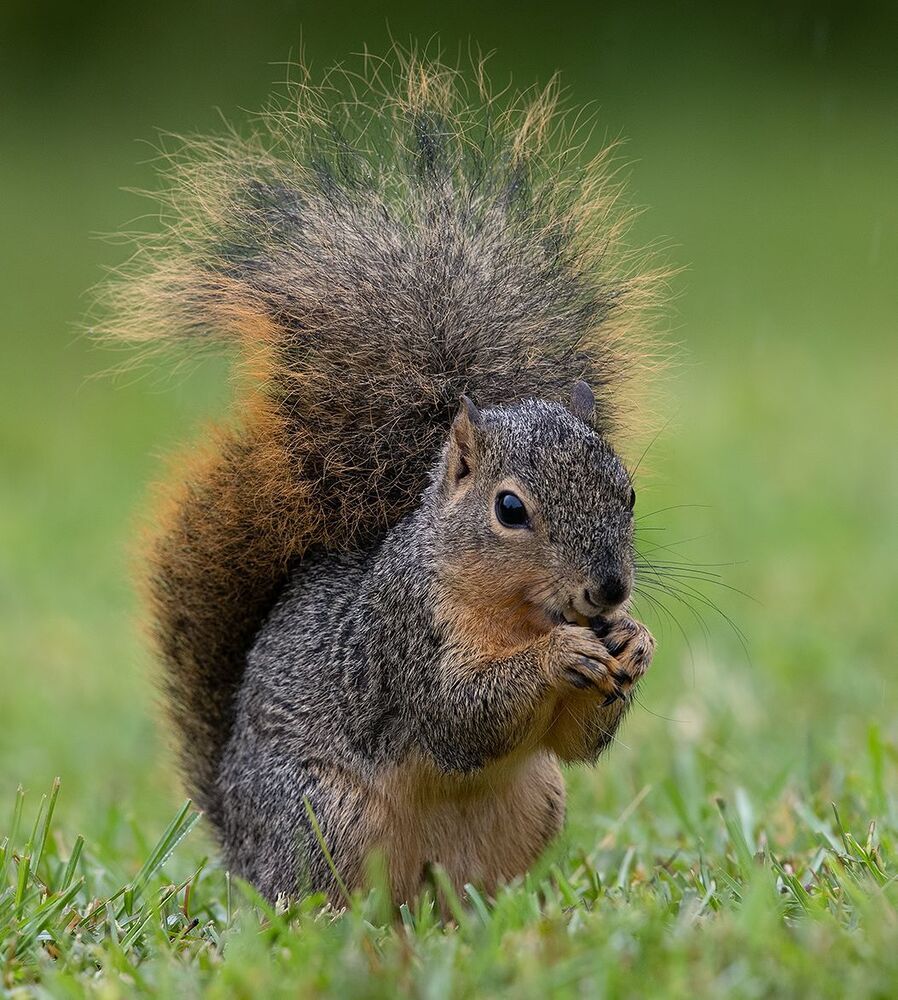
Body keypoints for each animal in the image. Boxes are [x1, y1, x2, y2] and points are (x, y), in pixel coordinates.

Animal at [102, 54, 662, 906]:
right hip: (322, 816)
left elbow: (577, 743)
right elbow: (459, 717)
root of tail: (241, 841)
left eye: (626, 492)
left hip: (533, 805)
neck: (518, 611)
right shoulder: (404, 638)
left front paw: (635, 640)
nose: (609, 590)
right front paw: (558, 655)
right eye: (509, 508)